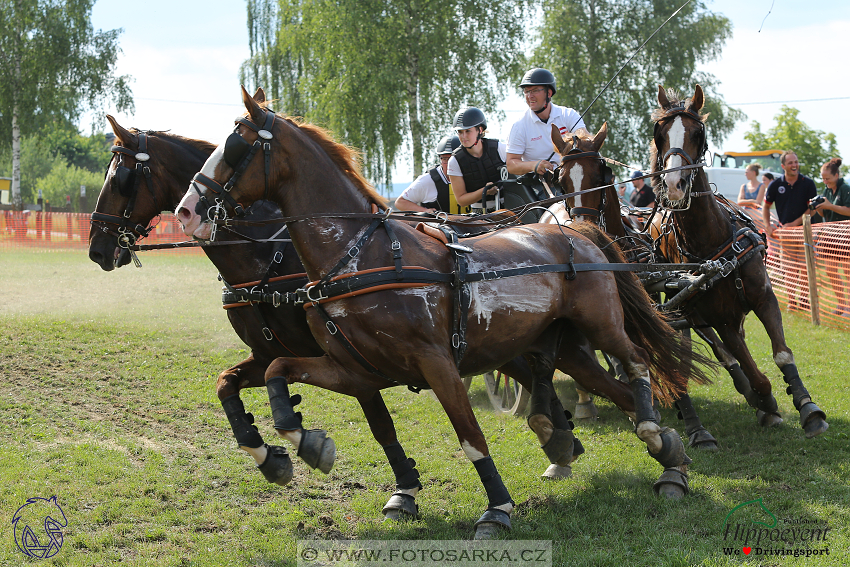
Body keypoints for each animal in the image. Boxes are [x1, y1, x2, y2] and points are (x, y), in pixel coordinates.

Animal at [176, 87, 712, 536]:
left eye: (236, 146)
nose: (185, 212)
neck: (357, 255)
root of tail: (574, 229)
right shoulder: (354, 369)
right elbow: (275, 374)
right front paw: (302, 446)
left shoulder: (437, 365)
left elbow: (470, 437)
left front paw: (497, 508)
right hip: (567, 350)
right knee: (611, 388)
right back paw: (666, 456)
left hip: (600, 326)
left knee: (637, 365)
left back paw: (655, 436)